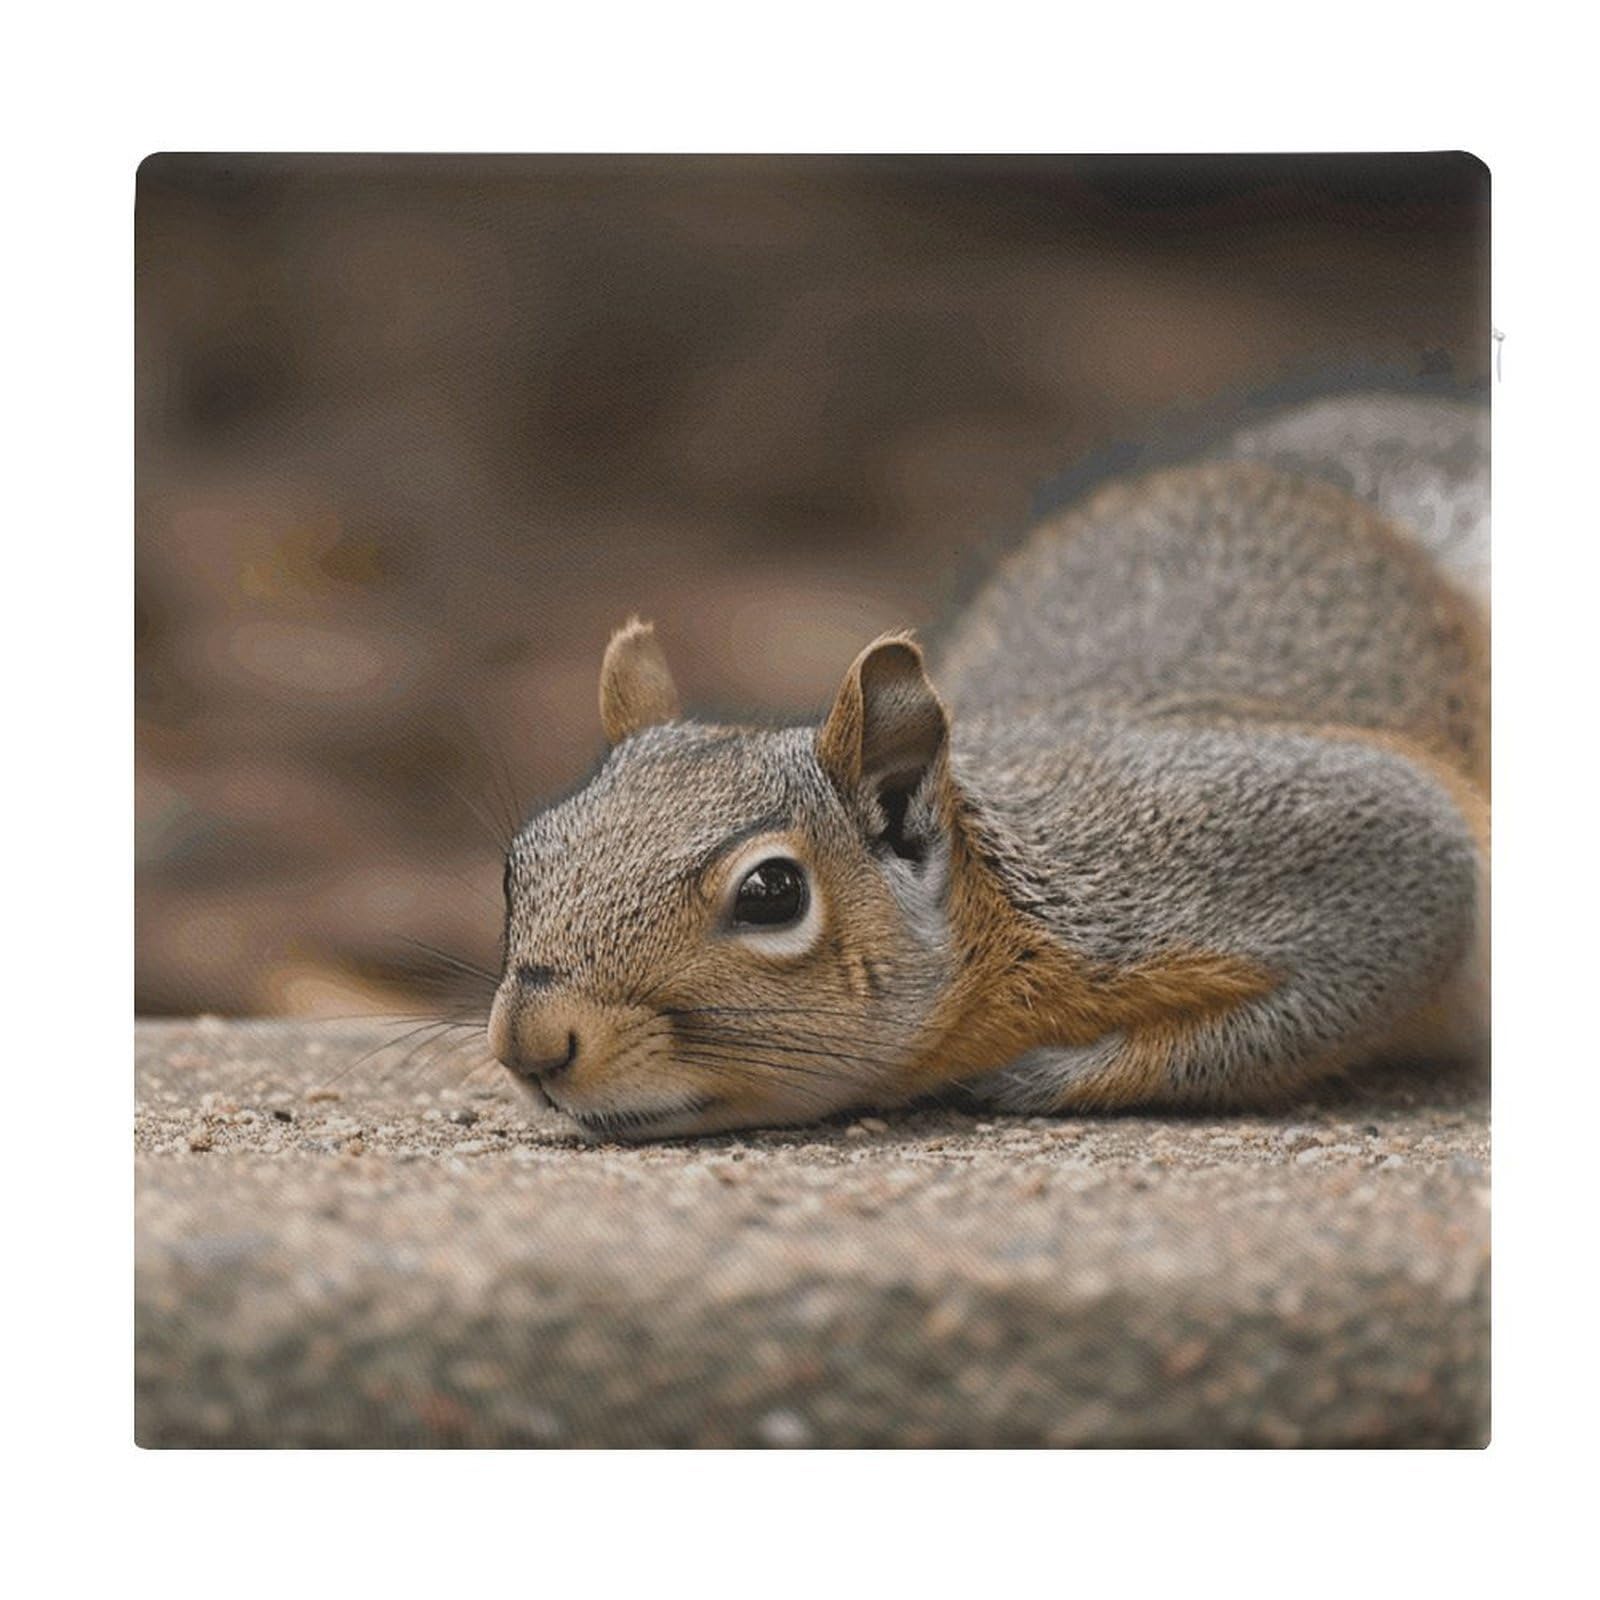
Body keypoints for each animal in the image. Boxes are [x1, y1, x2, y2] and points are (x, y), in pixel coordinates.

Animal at [487, 392, 1489, 1140]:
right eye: (519, 863)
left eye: (772, 893)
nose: (530, 1044)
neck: (1004, 908)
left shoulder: (1274, 842)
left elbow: (1368, 950)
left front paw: (1038, 1077)